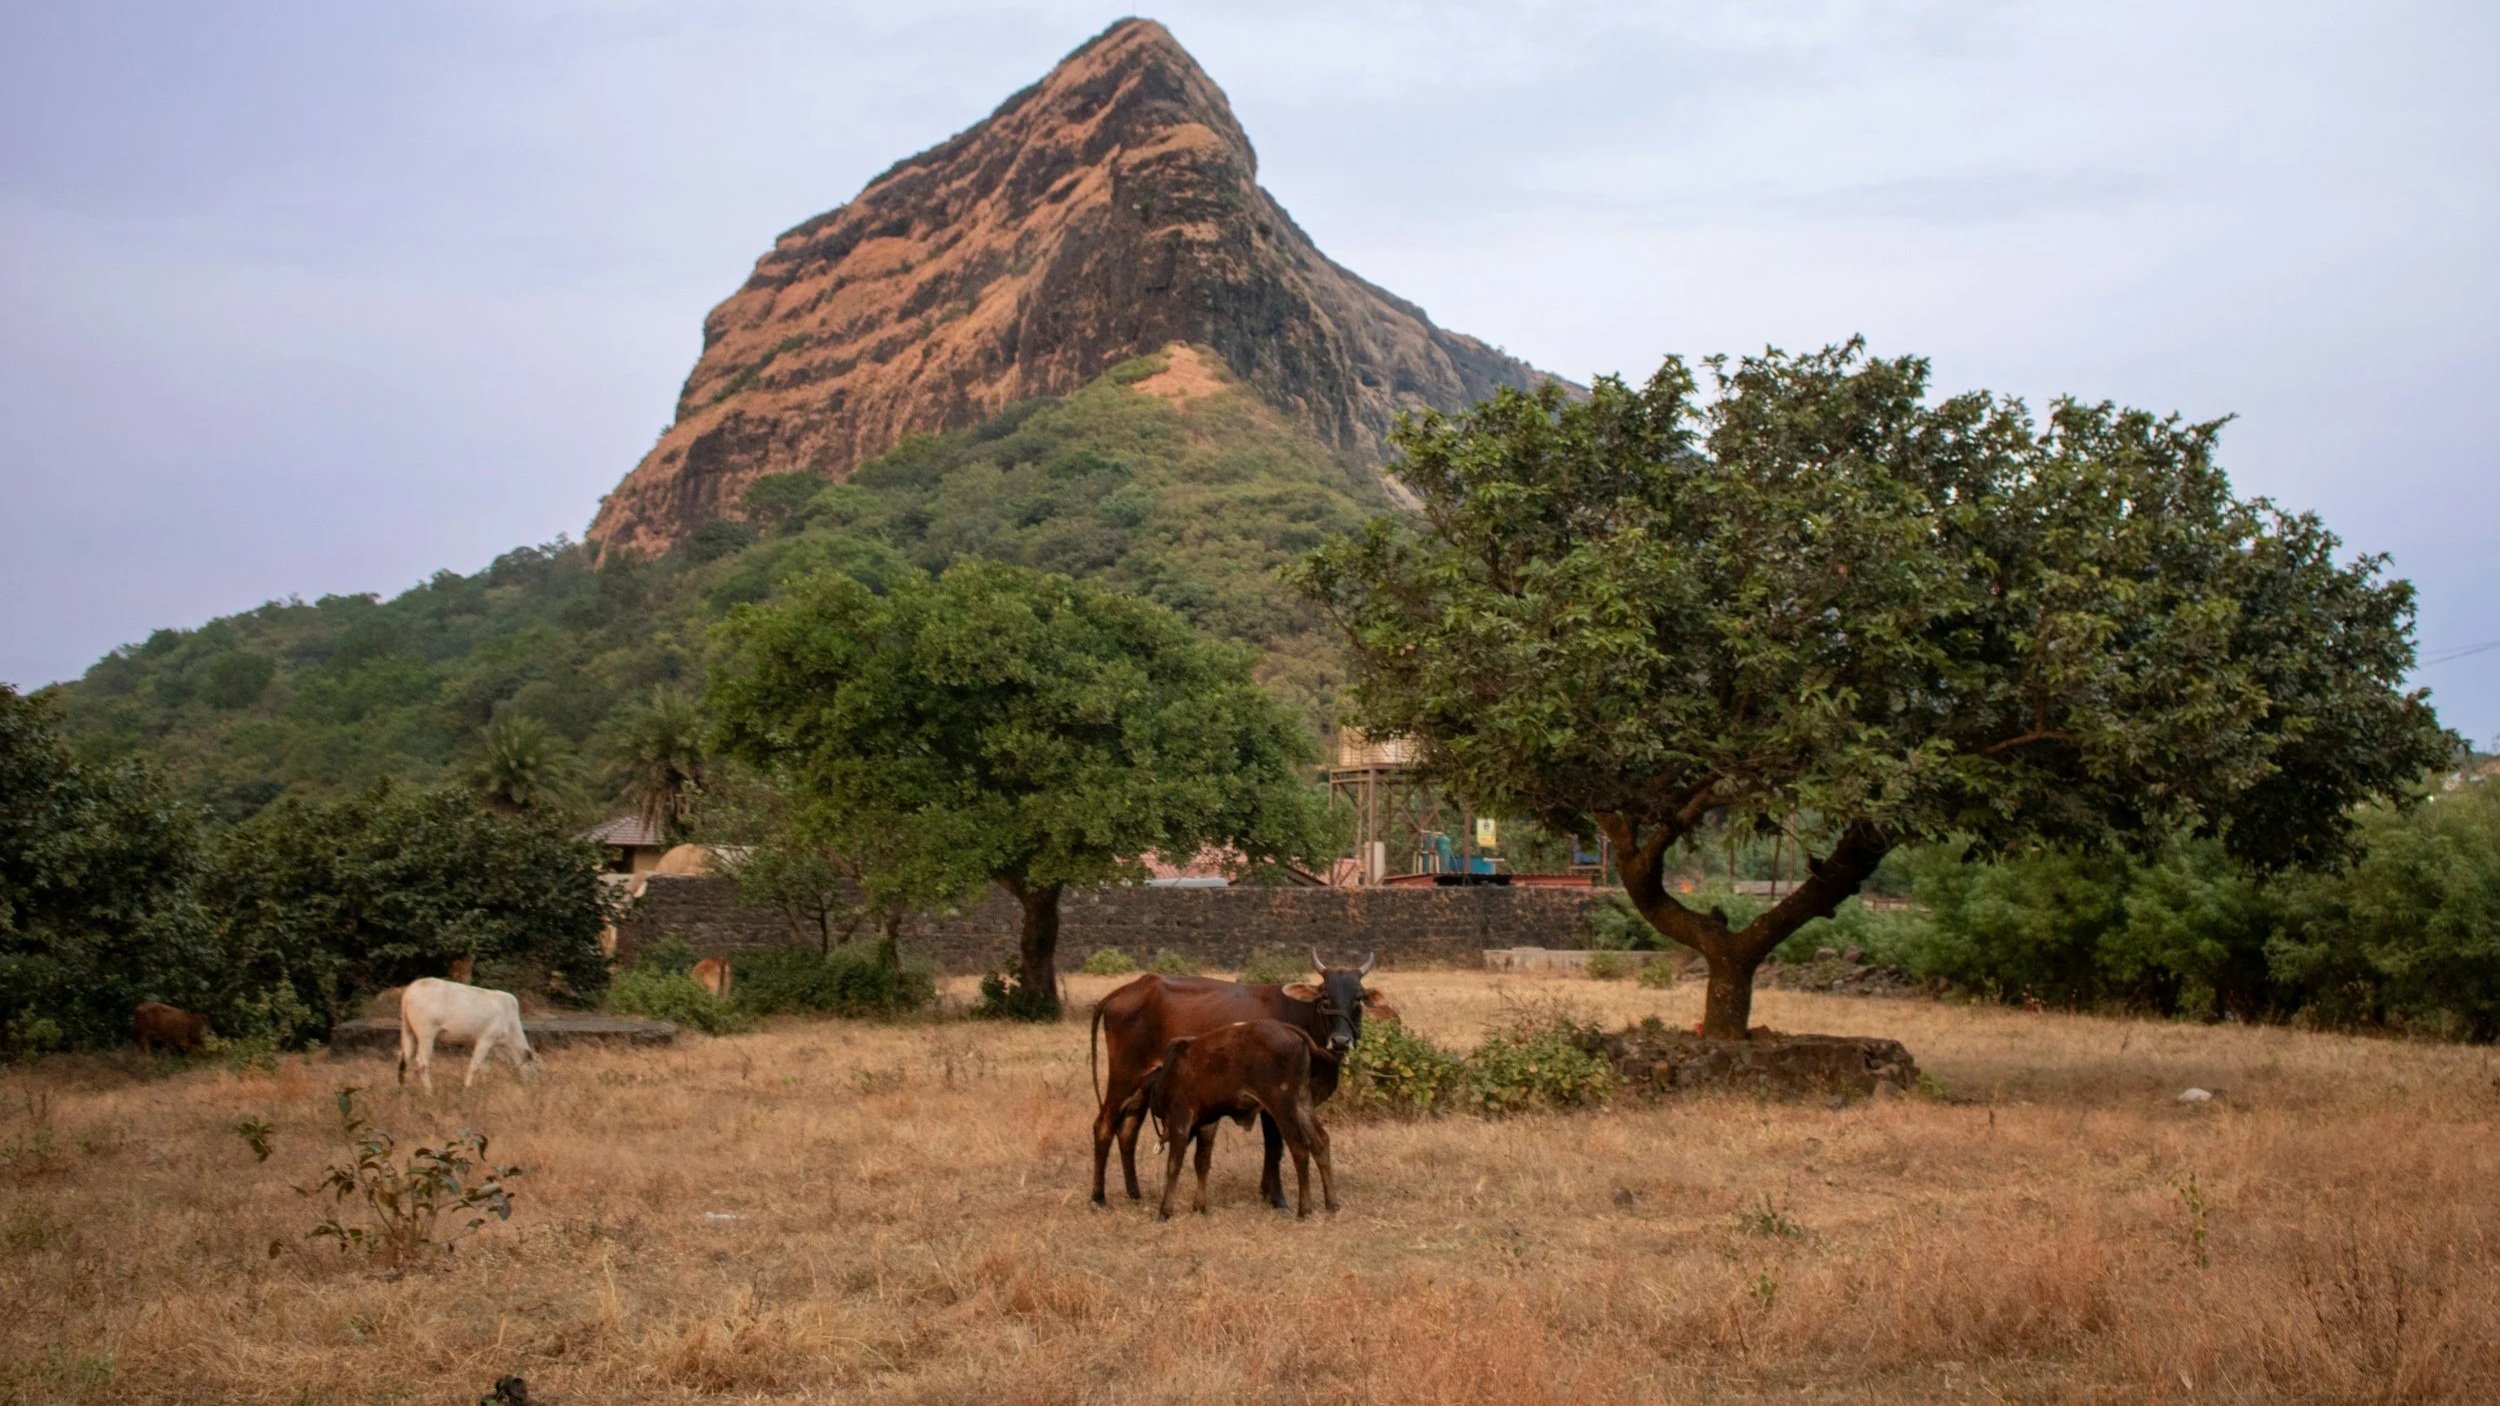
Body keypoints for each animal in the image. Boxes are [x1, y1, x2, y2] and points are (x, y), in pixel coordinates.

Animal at [397, 977, 539, 1093]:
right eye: (533, 1070)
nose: (534, 1088)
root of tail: (412, 988)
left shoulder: (490, 1047)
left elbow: (485, 1068)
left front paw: (485, 1087)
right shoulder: (485, 1040)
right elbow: (475, 1066)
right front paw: (467, 1087)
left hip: (409, 1031)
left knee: (405, 1057)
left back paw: (403, 1087)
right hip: (426, 1035)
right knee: (422, 1062)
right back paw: (429, 1090)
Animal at [1139, 1019, 1339, 1220]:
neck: (1170, 1073)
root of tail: (1289, 1030)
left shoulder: (1180, 1118)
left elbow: (1174, 1165)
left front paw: (1164, 1211)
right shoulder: (1208, 1123)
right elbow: (1202, 1161)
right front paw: (1199, 1206)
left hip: (1282, 1107)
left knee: (1300, 1149)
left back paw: (1304, 1209)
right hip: (1302, 1103)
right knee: (1321, 1142)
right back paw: (1332, 1204)